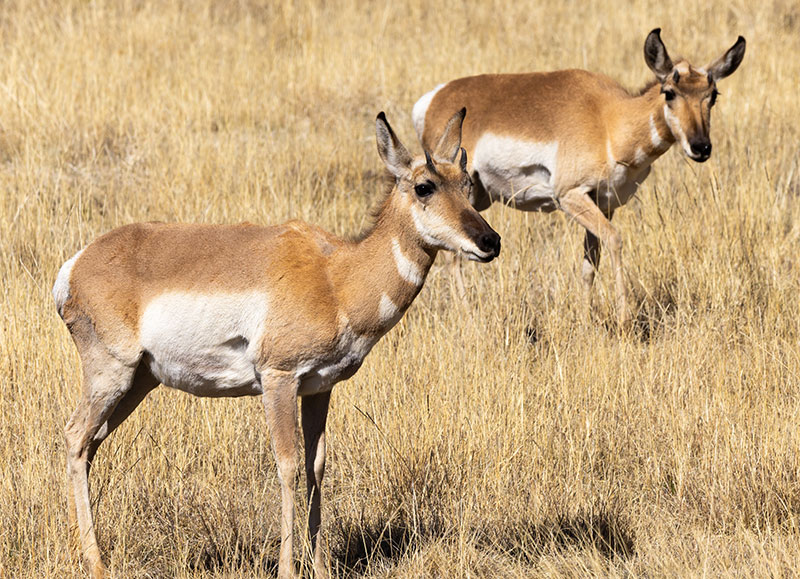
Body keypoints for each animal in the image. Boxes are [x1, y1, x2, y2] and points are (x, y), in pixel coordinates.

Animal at [53, 110, 500, 579]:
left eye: (466, 184)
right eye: (424, 186)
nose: (490, 241)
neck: (336, 276)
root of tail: (77, 264)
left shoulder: (320, 388)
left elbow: (316, 466)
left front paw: (320, 566)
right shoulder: (278, 379)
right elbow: (287, 466)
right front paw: (288, 568)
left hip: (139, 382)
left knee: (90, 443)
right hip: (111, 375)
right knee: (74, 436)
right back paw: (96, 562)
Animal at [413, 29, 745, 328]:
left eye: (712, 96)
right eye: (670, 93)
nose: (701, 147)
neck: (609, 120)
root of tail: (433, 98)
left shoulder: (604, 203)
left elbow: (590, 263)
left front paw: (586, 320)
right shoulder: (570, 196)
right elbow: (615, 240)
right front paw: (624, 319)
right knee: (454, 255)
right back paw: (468, 319)